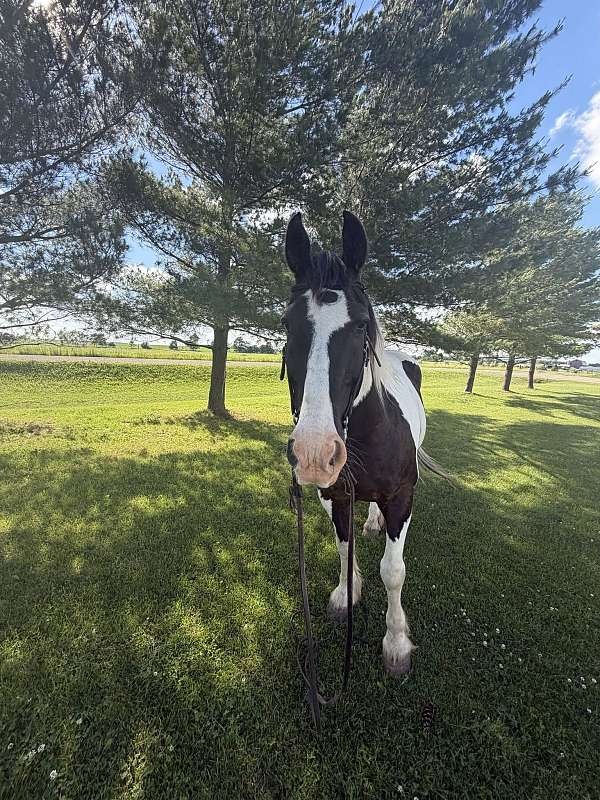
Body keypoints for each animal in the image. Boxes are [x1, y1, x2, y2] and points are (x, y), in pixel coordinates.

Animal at [282, 209, 445, 676]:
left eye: (360, 325)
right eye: (286, 324)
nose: (314, 453)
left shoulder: (402, 497)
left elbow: (393, 571)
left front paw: (396, 643)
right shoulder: (335, 494)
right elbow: (343, 546)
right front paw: (346, 593)